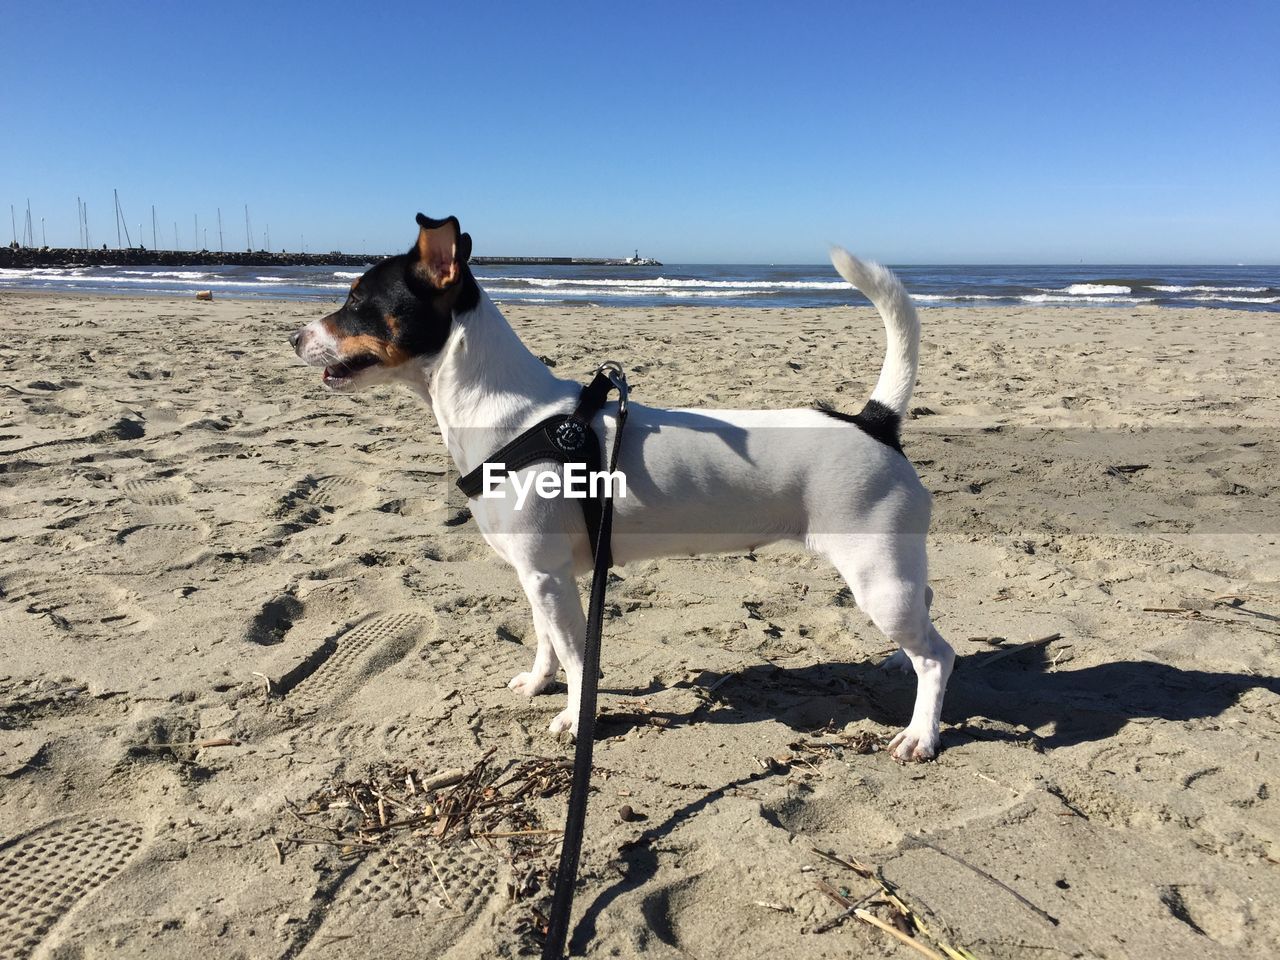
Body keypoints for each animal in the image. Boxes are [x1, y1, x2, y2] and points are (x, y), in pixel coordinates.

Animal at [290, 213, 952, 762]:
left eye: (357, 299)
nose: (293, 339)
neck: (514, 420)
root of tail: (873, 421)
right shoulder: (541, 578)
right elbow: (545, 644)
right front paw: (538, 684)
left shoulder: (550, 578)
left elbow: (577, 659)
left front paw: (575, 719)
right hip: (893, 576)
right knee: (926, 621)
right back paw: (898, 665)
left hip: (877, 579)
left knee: (939, 656)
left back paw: (920, 734)